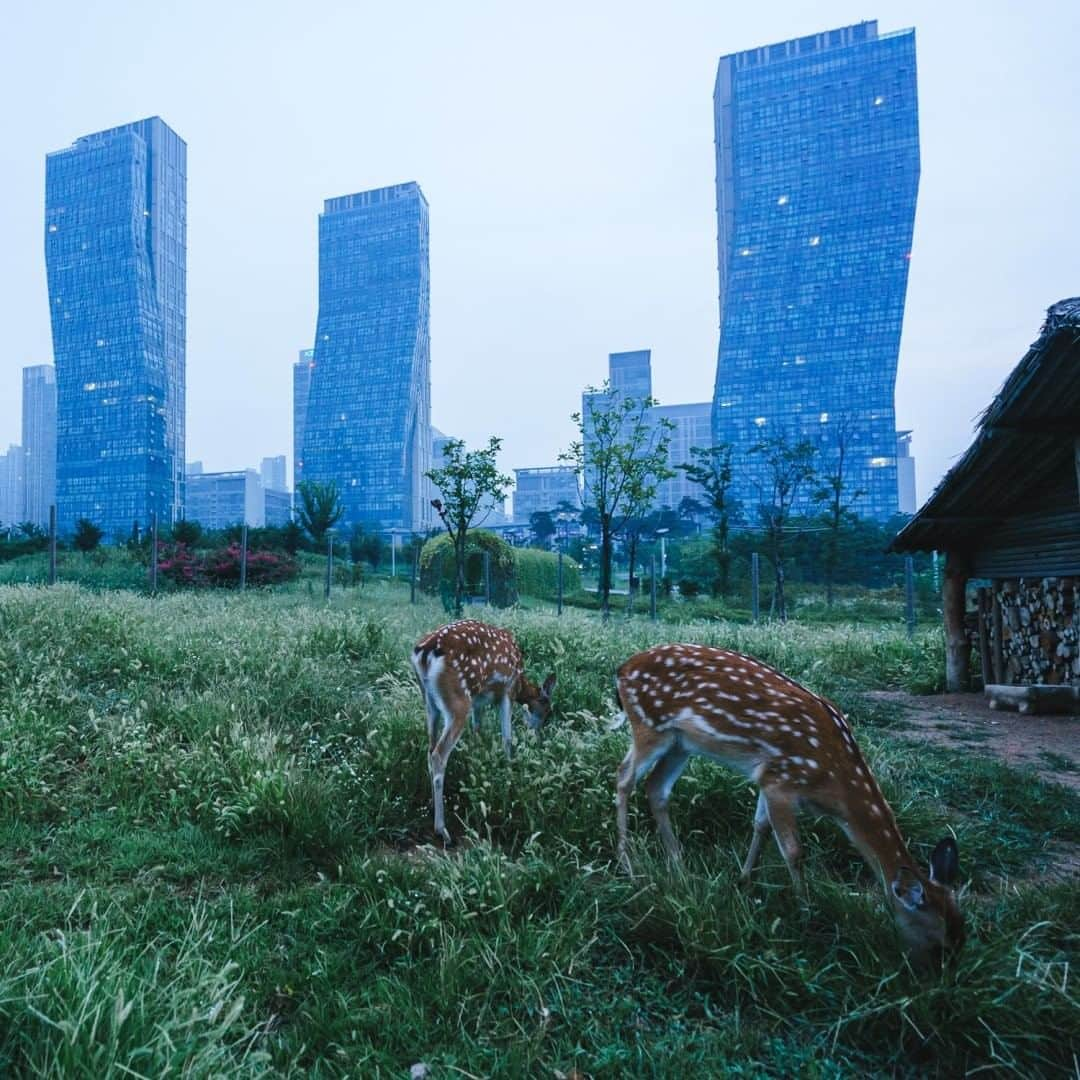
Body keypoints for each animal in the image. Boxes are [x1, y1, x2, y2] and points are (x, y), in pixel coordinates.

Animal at [412, 622, 557, 846]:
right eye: (547, 710)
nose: (538, 735)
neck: (521, 683)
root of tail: (425, 653)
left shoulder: (479, 700)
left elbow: (477, 733)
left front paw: (478, 769)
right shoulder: (507, 690)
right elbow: (507, 739)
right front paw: (509, 776)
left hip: (429, 702)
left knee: (430, 748)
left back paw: (431, 808)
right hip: (458, 701)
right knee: (439, 754)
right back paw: (442, 830)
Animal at [613, 643, 967, 967]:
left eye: (961, 935)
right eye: (939, 946)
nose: (940, 981)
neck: (835, 784)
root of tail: (623, 669)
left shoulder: (767, 777)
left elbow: (760, 826)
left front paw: (744, 881)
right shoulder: (782, 780)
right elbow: (794, 851)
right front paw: (806, 912)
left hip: (681, 742)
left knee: (657, 788)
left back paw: (679, 867)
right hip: (650, 725)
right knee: (624, 778)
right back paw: (627, 864)